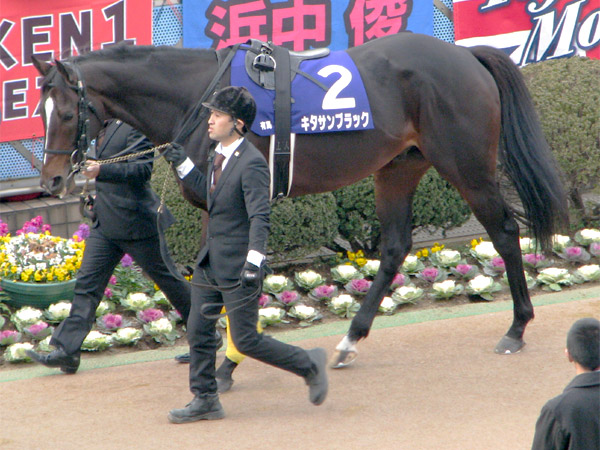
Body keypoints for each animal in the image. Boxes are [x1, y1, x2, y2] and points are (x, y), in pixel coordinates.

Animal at [32, 34, 568, 366]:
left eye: (65, 111)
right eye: (39, 109)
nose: (54, 179)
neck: (200, 96)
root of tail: (466, 55)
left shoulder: (225, 201)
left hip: (466, 164)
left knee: (504, 230)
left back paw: (517, 328)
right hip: (399, 167)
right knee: (395, 247)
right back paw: (351, 339)